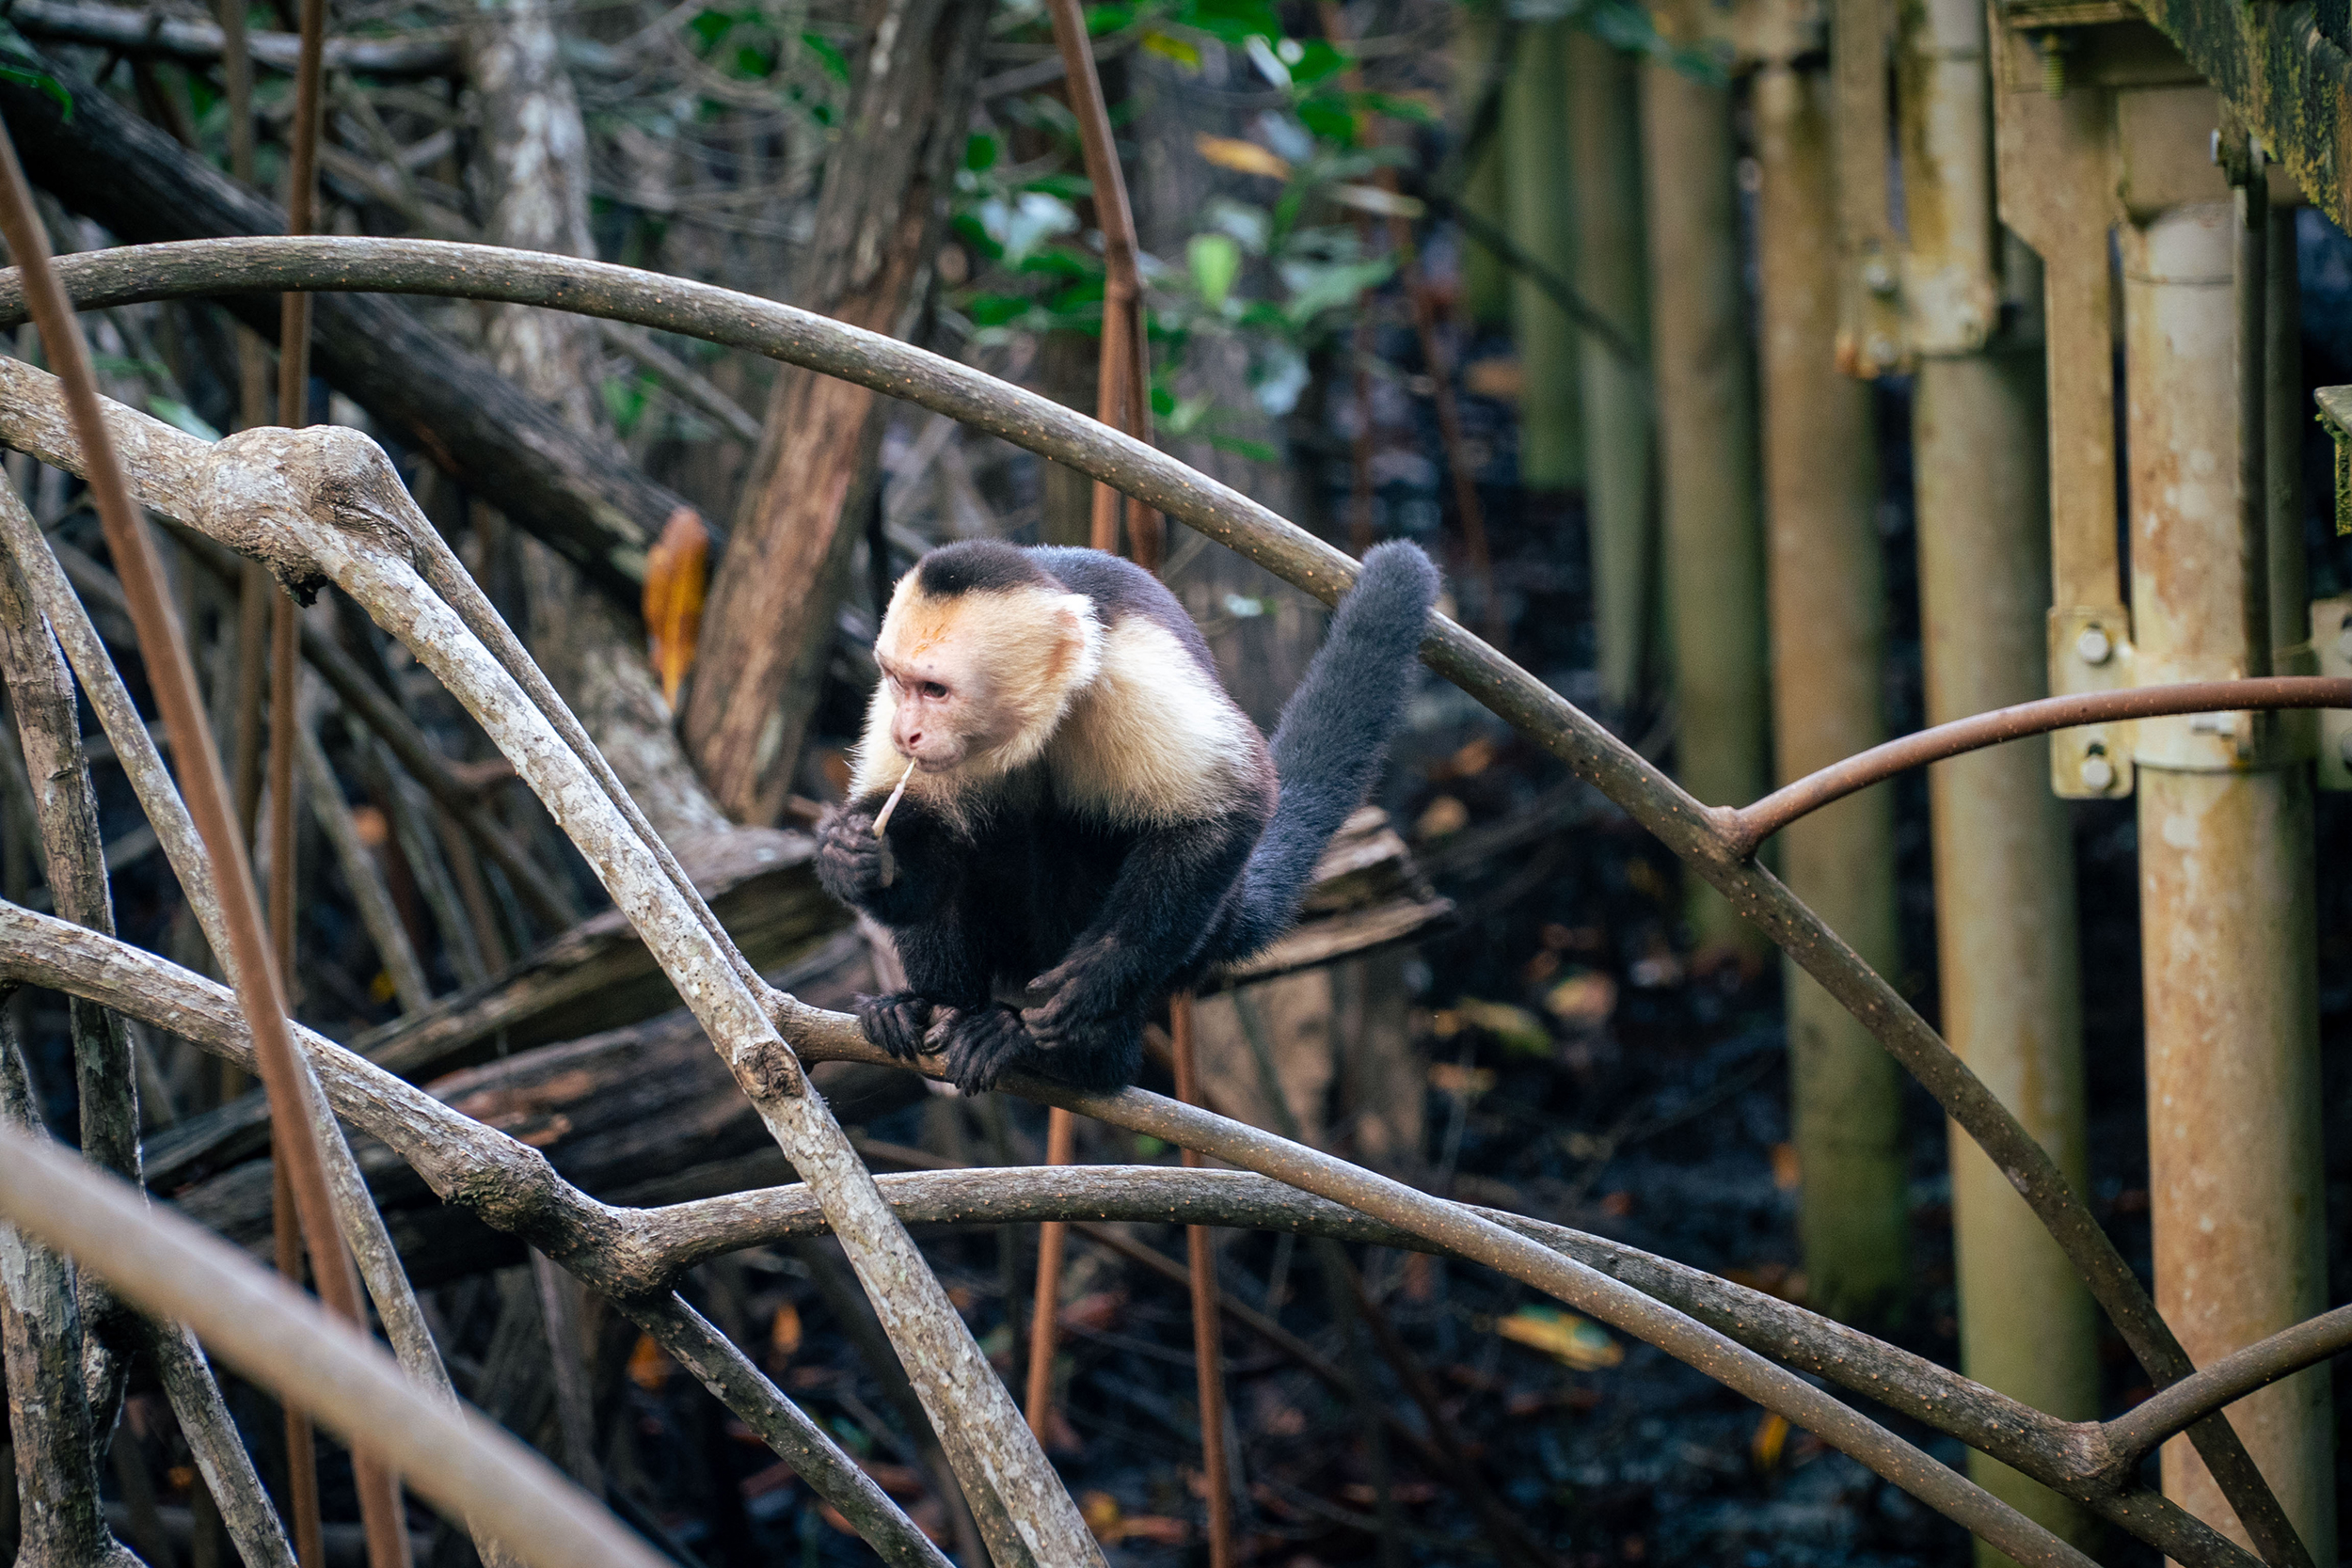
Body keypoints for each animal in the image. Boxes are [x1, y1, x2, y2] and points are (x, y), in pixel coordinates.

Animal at [813, 536, 1438, 1095]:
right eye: (899, 682)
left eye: (936, 690)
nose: (906, 732)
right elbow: (920, 834)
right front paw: (857, 857)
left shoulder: (1133, 672)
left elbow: (1223, 811)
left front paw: (1097, 975)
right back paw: (932, 1006)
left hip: (1195, 932)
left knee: (1073, 833)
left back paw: (1064, 1053)